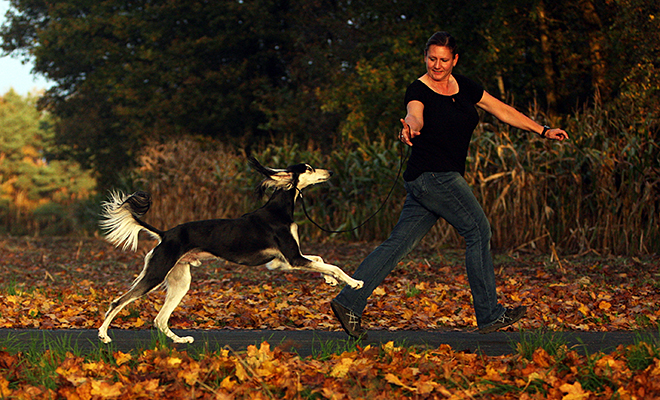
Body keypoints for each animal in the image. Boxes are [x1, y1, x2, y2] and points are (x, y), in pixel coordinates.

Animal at [97, 157, 364, 344]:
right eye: (308, 169)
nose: (330, 172)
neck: (278, 209)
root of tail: (165, 234)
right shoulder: (293, 258)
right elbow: (333, 264)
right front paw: (354, 282)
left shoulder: (282, 261)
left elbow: (321, 259)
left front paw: (329, 280)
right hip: (156, 273)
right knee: (118, 302)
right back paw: (103, 335)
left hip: (180, 281)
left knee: (160, 319)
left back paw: (180, 340)